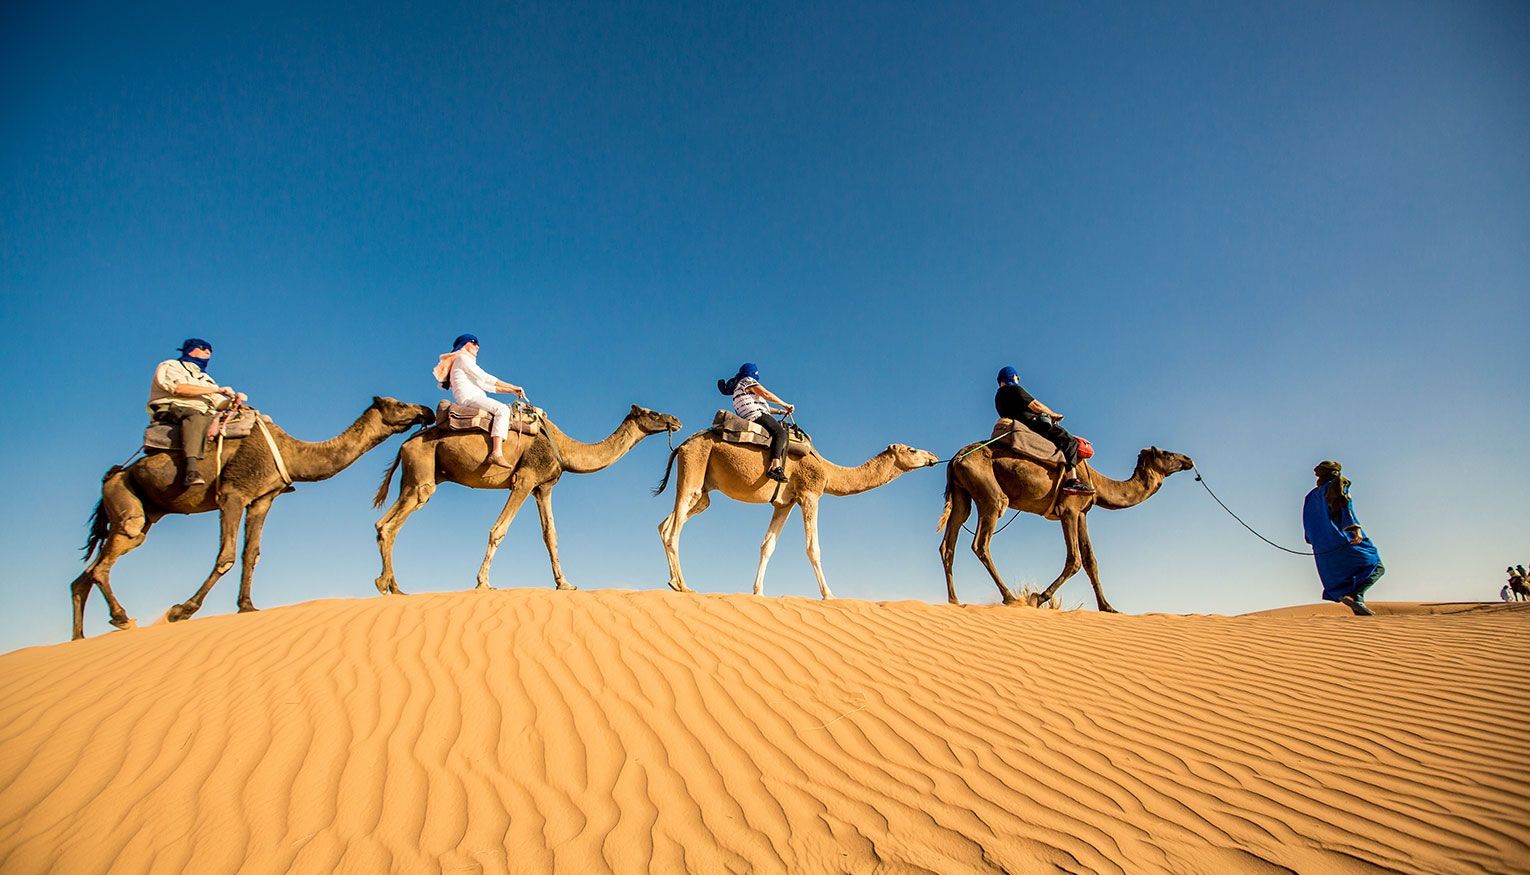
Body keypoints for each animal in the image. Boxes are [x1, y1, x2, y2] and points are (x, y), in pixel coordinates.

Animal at [70, 397, 437, 640]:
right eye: (400, 404)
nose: (427, 410)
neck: (293, 452)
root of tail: (112, 475)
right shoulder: (234, 494)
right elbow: (226, 556)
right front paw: (182, 610)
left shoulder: (263, 499)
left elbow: (251, 554)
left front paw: (246, 606)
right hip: (126, 502)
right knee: (104, 564)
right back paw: (121, 618)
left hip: (143, 512)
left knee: (86, 574)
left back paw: (79, 637)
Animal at [372, 405, 681, 593]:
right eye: (653, 412)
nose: (675, 420)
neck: (565, 449)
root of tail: (404, 444)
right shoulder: (524, 479)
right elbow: (499, 530)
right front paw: (483, 582)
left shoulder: (543, 487)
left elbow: (550, 535)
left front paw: (565, 583)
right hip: (422, 475)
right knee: (390, 524)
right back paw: (386, 585)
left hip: (417, 478)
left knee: (383, 524)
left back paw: (393, 587)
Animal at [654, 432, 939, 597]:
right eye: (912, 450)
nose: (933, 456)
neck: (828, 470)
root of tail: (681, 445)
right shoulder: (810, 494)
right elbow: (813, 548)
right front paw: (829, 594)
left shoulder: (784, 504)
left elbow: (767, 545)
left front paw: (758, 592)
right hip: (694, 469)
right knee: (674, 529)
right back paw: (683, 585)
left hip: (703, 491)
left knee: (666, 524)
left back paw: (673, 581)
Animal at [938, 444, 1195, 611]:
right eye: (1166, 453)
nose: (1188, 459)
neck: (1096, 483)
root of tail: (955, 459)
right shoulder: (1069, 510)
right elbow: (1075, 560)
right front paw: (1038, 597)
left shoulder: (1082, 513)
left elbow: (1091, 561)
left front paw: (1108, 607)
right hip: (991, 495)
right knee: (981, 542)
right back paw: (1010, 597)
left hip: (962, 493)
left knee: (948, 544)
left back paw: (954, 600)